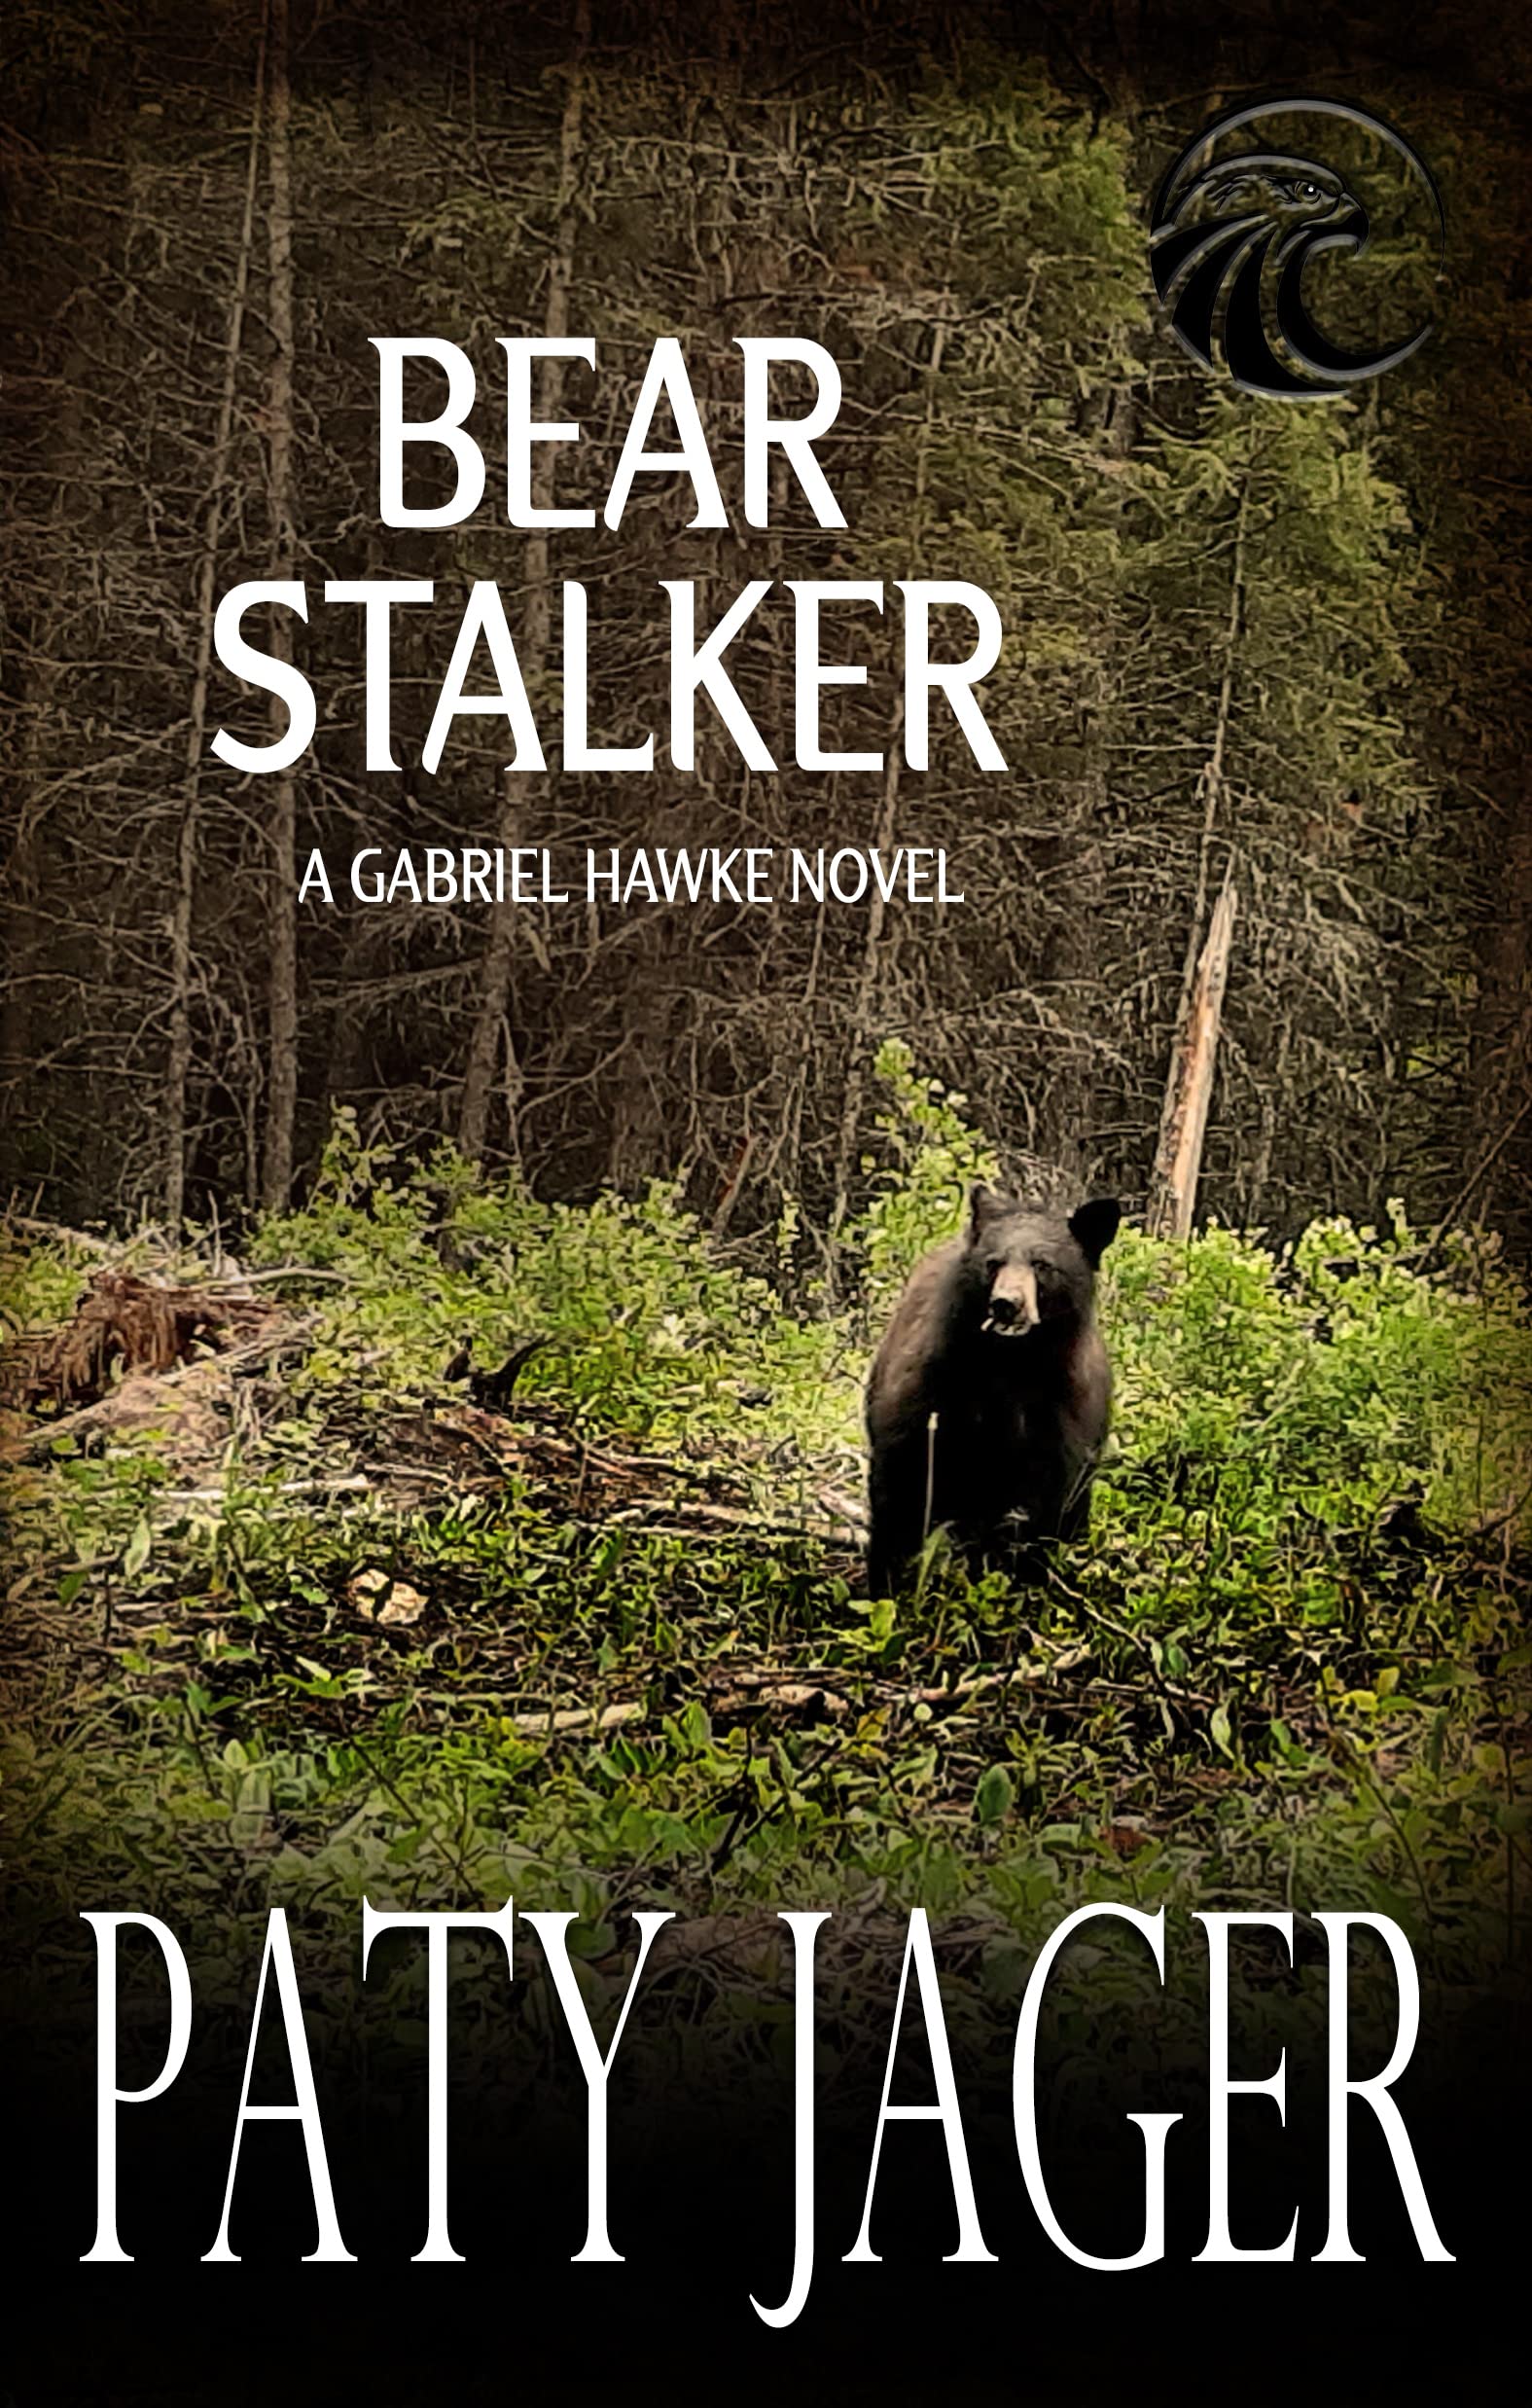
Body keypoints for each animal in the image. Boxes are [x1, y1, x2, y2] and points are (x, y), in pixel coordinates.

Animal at [864, 1186, 1120, 1595]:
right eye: (994, 1263)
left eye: (1042, 1265)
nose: (1006, 1304)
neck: (1007, 1364)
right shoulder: (934, 1388)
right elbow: (901, 1479)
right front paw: (887, 1583)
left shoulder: (1062, 1412)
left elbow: (1051, 1503)